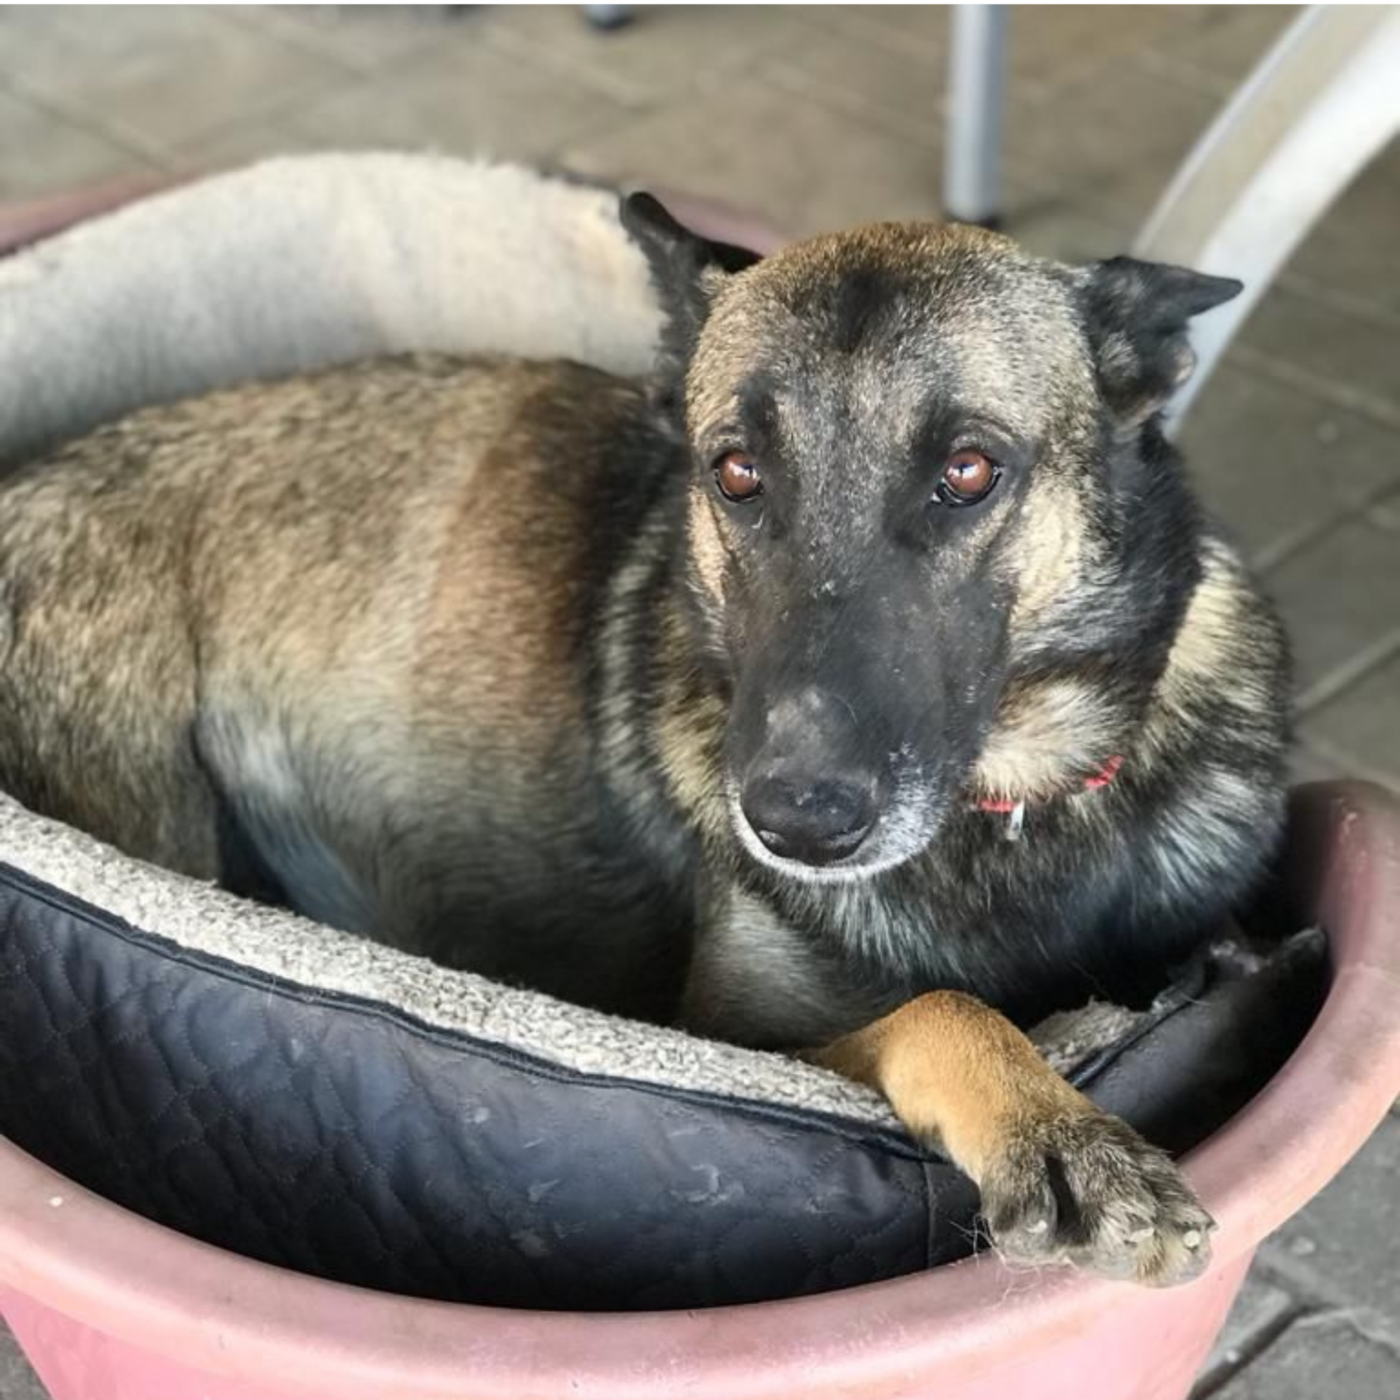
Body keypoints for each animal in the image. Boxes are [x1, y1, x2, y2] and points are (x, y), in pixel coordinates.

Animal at [0, 191, 1288, 1282]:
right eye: (737, 472)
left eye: (967, 470)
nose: (793, 818)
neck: (1013, 805)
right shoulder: (735, 1039)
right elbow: (939, 1007)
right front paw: (1054, 1125)